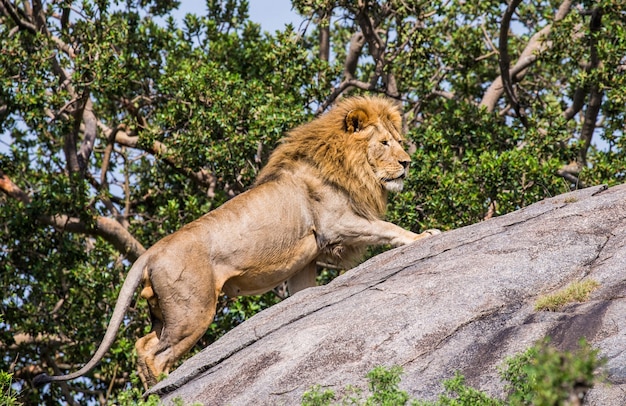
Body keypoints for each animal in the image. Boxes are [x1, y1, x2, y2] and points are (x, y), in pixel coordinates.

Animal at [31, 94, 436, 386]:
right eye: (384, 143)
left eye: (398, 141)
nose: (407, 163)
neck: (351, 166)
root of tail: (150, 252)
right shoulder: (337, 223)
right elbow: (388, 228)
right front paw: (426, 234)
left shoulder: (305, 261)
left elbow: (304, 293)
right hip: (194, 312)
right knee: (153, 353)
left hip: (166, 313)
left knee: (143, 344)